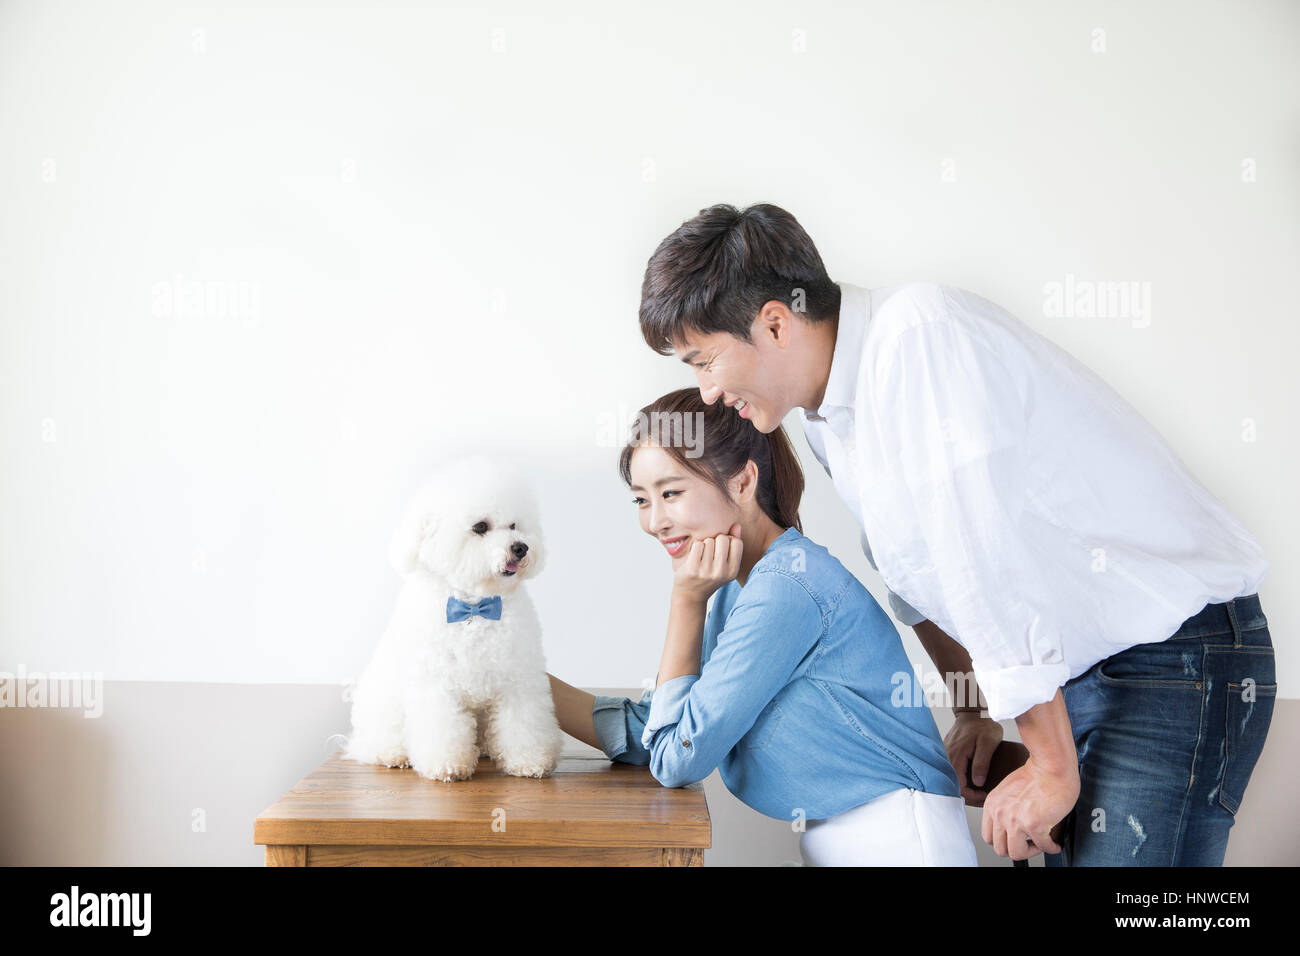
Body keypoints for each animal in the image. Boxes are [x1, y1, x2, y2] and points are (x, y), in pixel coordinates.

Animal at [345, 457, 564, 785]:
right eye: (480, 527)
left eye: (514, 526)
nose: (521, 547)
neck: (474, 608)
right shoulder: (436, 685)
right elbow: (442, 727)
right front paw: (447, 765)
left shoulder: (517, 680)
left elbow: (523, 725)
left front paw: (529, 761)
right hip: (384, 705)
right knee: (378, 740)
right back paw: (393, 754)